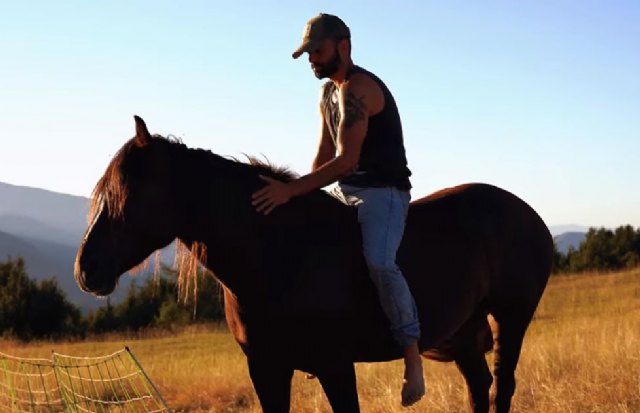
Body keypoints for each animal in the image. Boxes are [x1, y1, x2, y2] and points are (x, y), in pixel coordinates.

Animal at [75, 116, 553, 413]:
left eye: (128, 194)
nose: (86, 269)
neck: (278, 252)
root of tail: (527, 212)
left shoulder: (335, 366)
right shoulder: (266, 368)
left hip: (512, 318)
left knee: (502, 386)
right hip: (466, 333)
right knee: (480, 387)